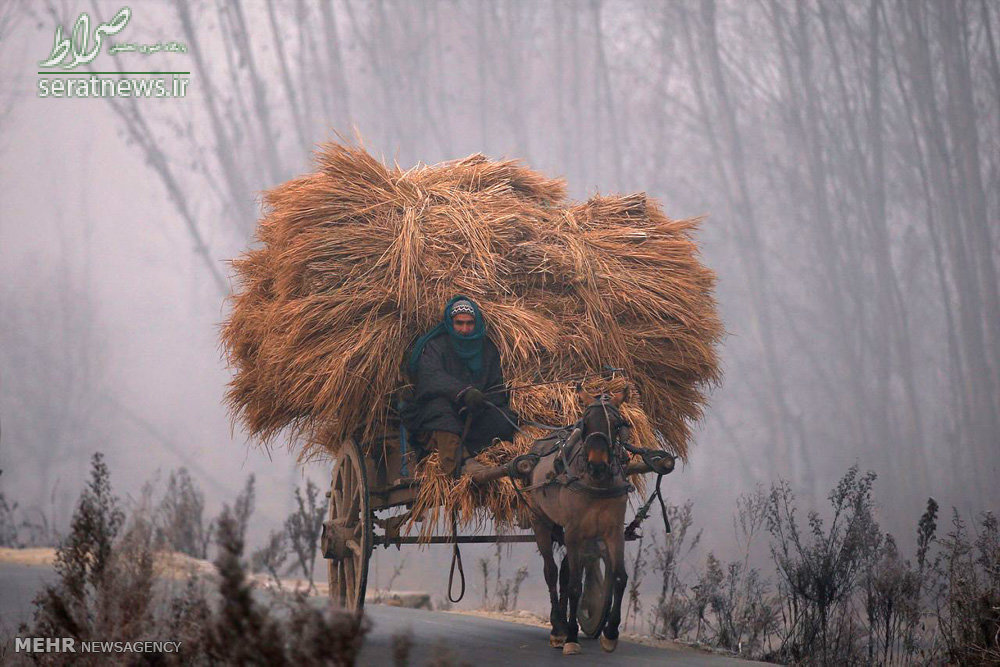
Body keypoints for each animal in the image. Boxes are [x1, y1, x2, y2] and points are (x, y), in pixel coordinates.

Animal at [524, 384, 632, 656]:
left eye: (617, 424)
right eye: (585, 422)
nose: (597, 464)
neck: (596, 483)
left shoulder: (613, 531)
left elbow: (619, 577)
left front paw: (611, 633)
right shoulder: (575, 532)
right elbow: (574, 585)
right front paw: (571, 637)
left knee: (564, 571)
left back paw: (562, 624)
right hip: (540, 520)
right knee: (552, 572)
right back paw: (558, 628)